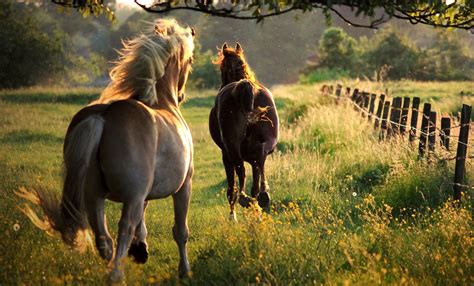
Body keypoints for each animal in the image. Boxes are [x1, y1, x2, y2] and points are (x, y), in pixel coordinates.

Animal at [16, 19, 194, 282]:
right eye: (190, 61)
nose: (181, 95)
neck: (163, 103)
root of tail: (103, 116)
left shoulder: (144, 193)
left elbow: (144, 221)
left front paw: (141, 250)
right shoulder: (182, 187)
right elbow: (180, 231)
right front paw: (184, 271)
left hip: (94, 197)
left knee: (104, 239)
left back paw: (112, 267)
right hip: (129, 198)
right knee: (124, 228)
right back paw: (116, 274)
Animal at [209, 43, 280, 221]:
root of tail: (244, 86)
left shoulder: (225, 154)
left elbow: (231, 186)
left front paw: (232, 216)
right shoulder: (252, 156)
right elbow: (254, 180)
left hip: (232, 148)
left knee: (240, 172)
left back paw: (243, 199)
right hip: (266, 143)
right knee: (260, 159)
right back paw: (263, 196)